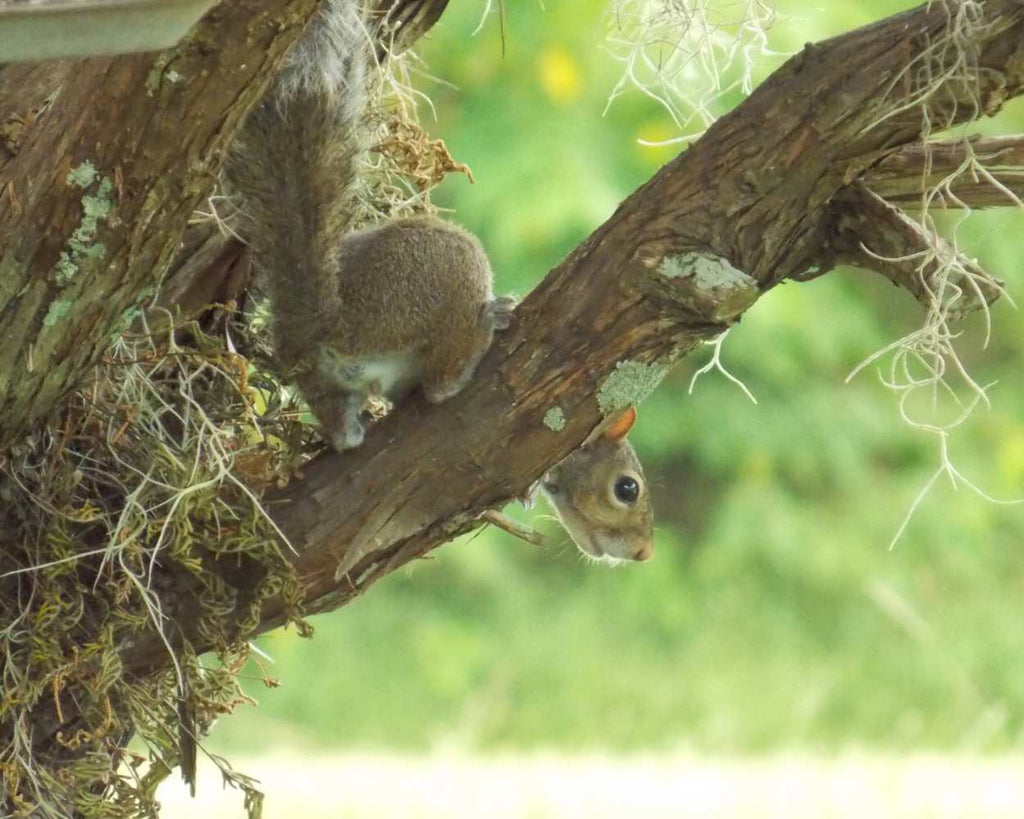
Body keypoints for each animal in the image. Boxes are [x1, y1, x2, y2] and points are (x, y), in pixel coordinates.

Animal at [225, 0, 654, 562]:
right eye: (627, 488)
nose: (644, 553)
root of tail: (320, 322)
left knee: (346, 425)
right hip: (443, 273)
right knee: (441, 385)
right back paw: (488, 323)